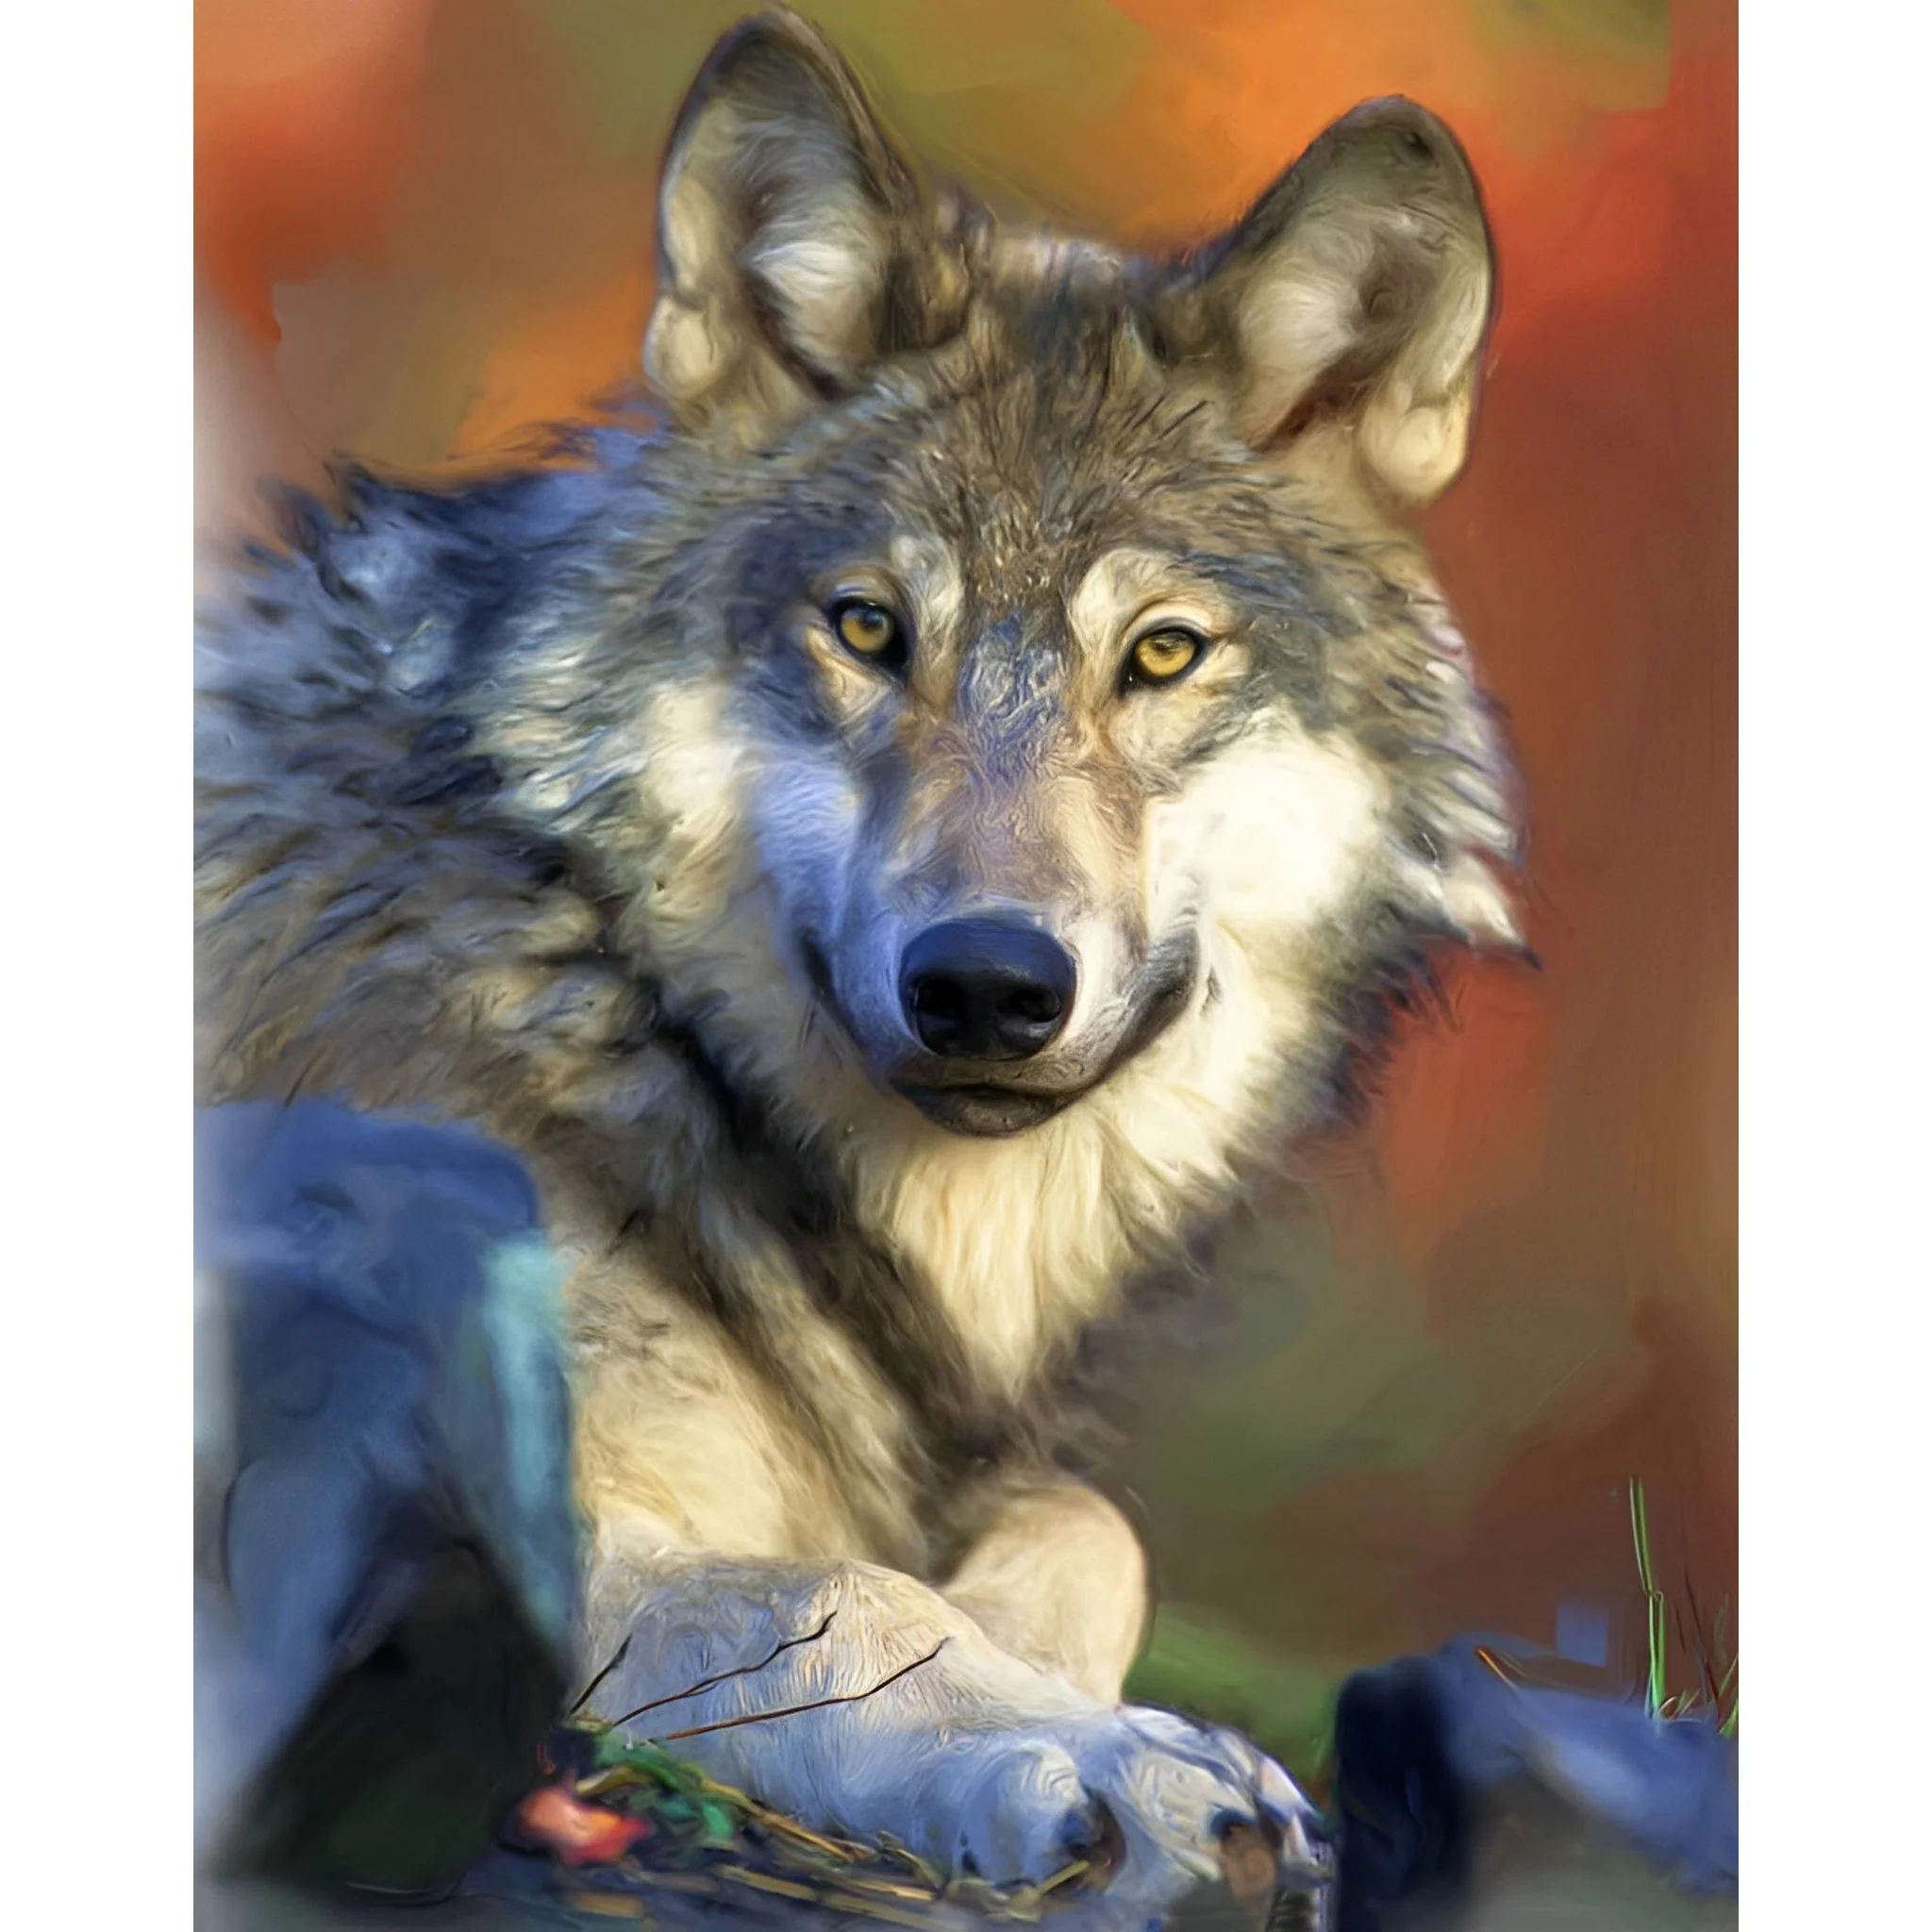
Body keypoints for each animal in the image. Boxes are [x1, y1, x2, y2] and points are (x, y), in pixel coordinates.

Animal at [196, 7, 1523, 1916]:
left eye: (1162, 654)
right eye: (869, 629)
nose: (986, 984)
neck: (613, 1007)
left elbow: (1084, 1526)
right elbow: (842, 1590)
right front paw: (1111, 1761)